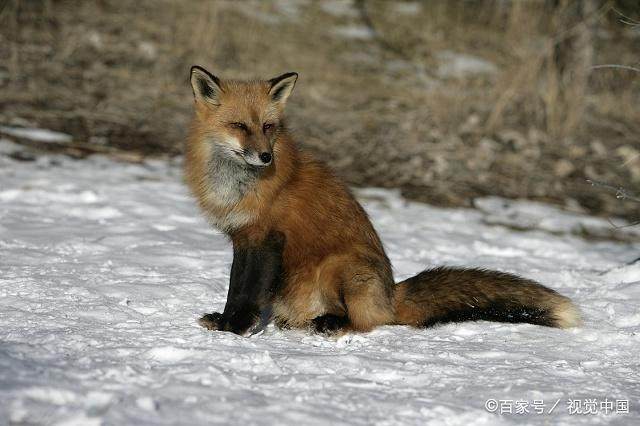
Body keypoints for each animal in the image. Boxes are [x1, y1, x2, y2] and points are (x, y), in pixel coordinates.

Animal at [184, 65, 580, 336]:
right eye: (239, 126)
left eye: (268, 127)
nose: (265, 157)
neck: (237, 187)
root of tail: (391, 294)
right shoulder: (242, 238)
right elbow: (236, 287)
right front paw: (226, 320)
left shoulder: (267, 238)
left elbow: (248, 292)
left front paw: (236, 328)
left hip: (339, 266)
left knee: (364, 322)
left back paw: (331, 323)